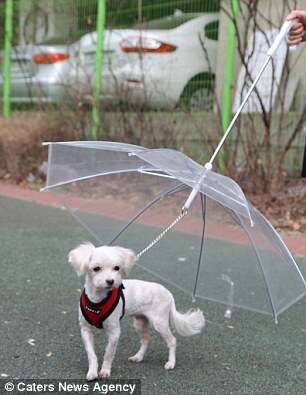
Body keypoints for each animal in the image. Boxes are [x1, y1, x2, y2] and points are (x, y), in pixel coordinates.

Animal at [68, 241, 204, 380]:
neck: (97, 300)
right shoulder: (85, 330)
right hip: (140, 323)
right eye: (96, 268)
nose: (111, 281)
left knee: (172, 340)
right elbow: (91, 354)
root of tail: (169, 293)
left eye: (117, 268)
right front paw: (92, 372)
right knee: (146, 339)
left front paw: (105, 371)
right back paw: (138, 357)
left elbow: (108, 354)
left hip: (159, 323)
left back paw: (171, 363)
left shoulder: (114, 332)